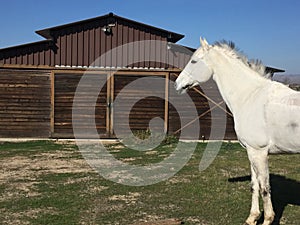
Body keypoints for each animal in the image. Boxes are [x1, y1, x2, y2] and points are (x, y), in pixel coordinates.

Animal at [176, 37, 300, 224]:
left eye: (194, 61)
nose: (177, 83)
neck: (250, 96)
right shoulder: (251, 152)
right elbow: (254, 186)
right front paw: (252, 218)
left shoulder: (259, 152)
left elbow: (264, 188)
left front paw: (267, 219)